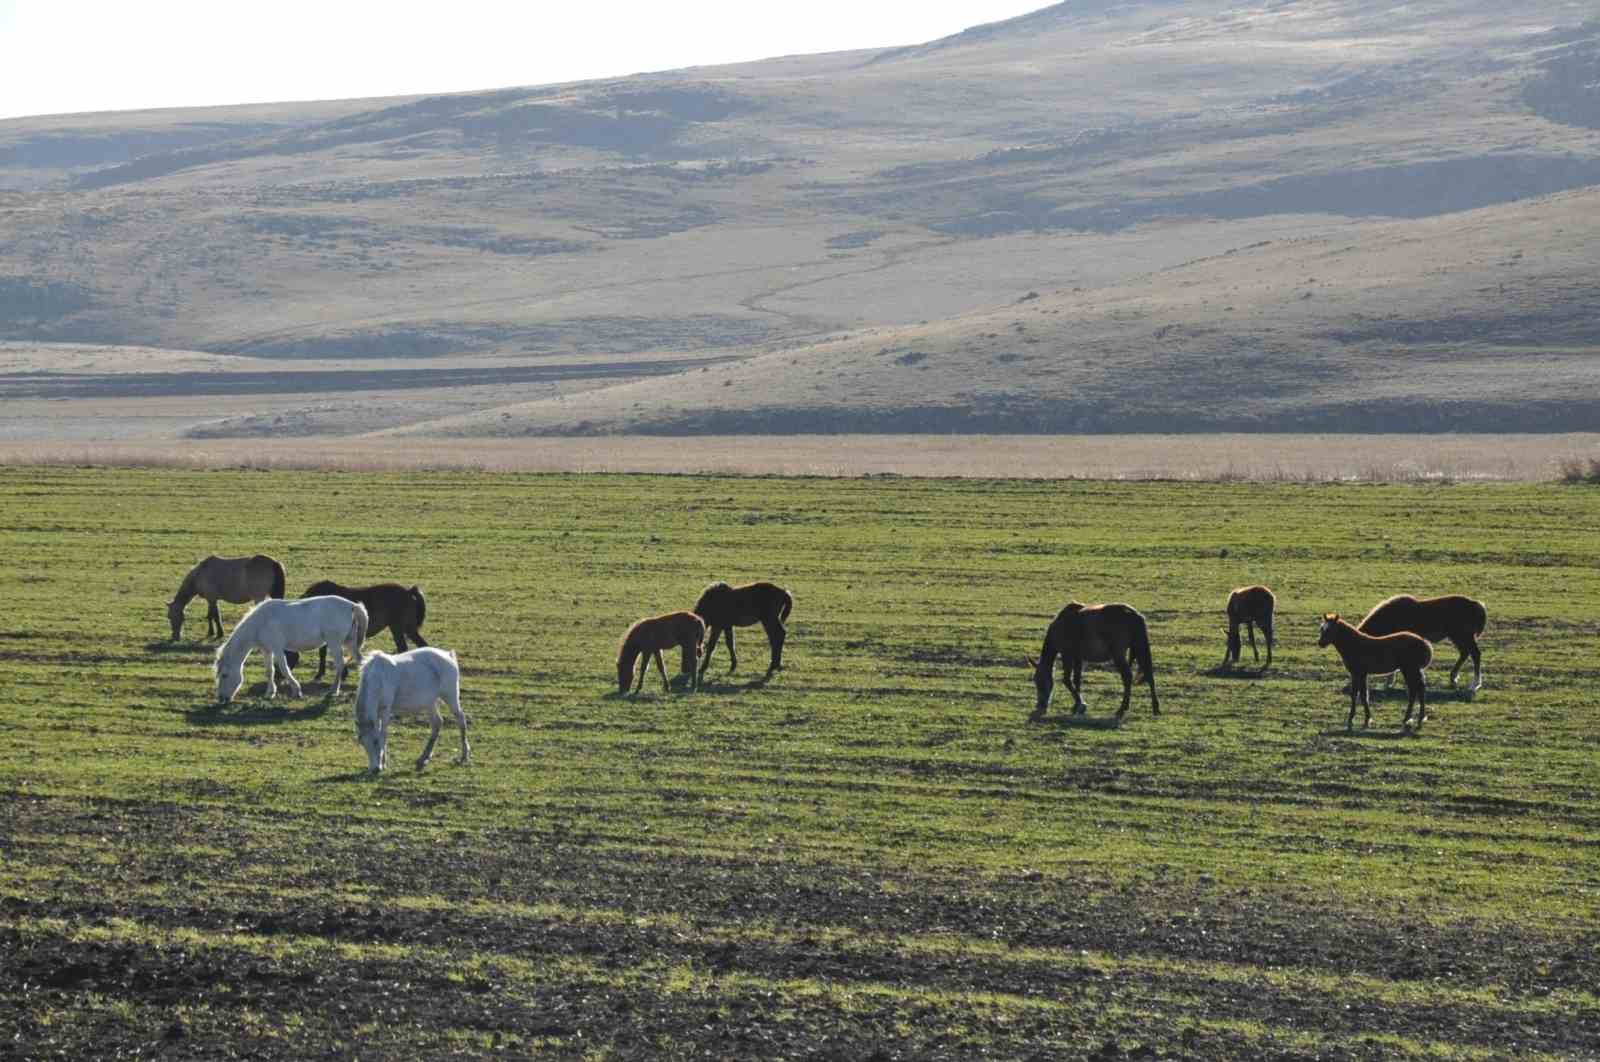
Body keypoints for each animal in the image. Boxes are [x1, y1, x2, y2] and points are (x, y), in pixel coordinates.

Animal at [216, 598, 368, 703]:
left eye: (224, 675)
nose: (221, 699)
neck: (261, 622)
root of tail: (352, 606)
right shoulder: (266, 650)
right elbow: (269, 671)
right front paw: (270, 693)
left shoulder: (277, 649)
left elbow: (284, 669)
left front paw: (296, 690)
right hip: (349, 643)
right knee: (360, 661)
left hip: (334, 643)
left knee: (340, 665)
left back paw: (333, 691)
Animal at [284, 582, 428, 681]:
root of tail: (408, 591)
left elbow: (323, 652)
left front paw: (325, 674)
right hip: (408, 629)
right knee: (422, 645)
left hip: (397, 628)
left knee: (403, 647)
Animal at [1030, 598, 1158, 722]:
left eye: (1039, 681)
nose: (1040, 705)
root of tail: (1133, 614)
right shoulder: (1078, 658)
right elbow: (1077, 680)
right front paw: (1077, 705)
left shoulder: (1067, 655)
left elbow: (1067, 680)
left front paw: (1081, 704)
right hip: (1140, 648)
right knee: (1149, 675)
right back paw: (1155, 708)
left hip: (1118, 654)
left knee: (1127, 677)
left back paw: (1122, 709)